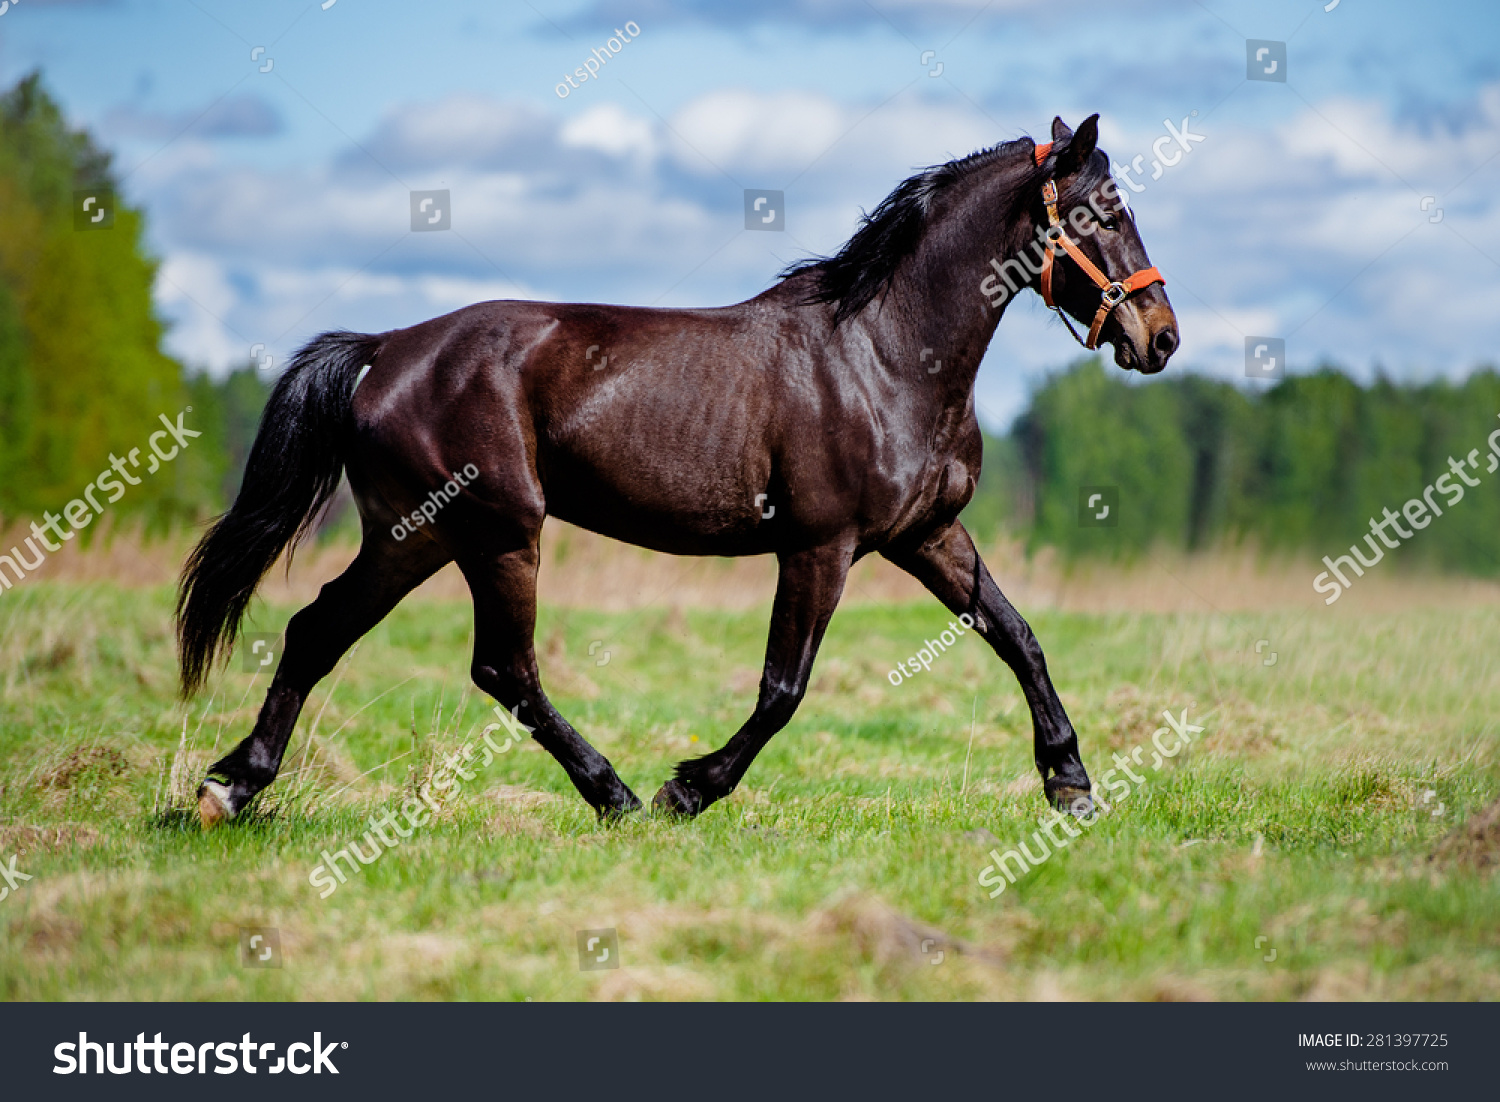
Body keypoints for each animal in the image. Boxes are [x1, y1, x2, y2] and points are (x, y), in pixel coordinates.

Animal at [176, 114, 1177, 827]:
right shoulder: (820, 546)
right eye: (1101, 212)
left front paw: (1071, 782)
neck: (886, 355)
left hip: (418, 537)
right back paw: (615, 794)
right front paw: (688, 789)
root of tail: (386, 349)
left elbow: (1018, 636)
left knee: (321, 630)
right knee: (501, 668)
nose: (1160, 337)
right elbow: (783, 688)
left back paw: (233, 786)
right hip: (492, 533)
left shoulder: (927, 535)